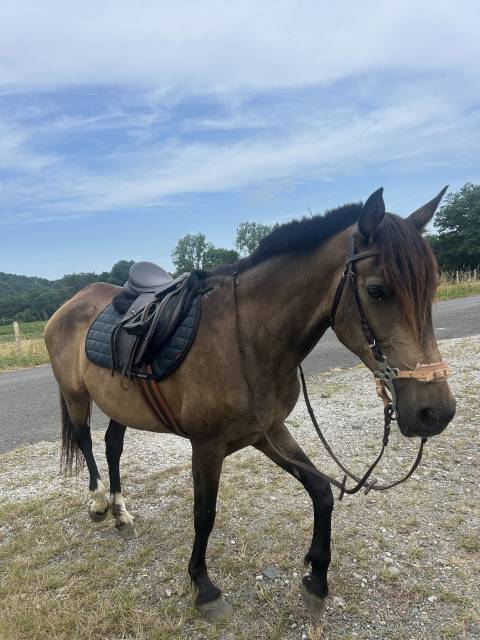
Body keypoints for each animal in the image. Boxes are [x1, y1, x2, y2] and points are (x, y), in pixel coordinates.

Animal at [44, 187, 455, 622]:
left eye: (431, 289)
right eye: (377, 291)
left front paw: (316, 578)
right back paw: (99, 503)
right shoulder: (207, 446)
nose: (436, 412)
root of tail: (72, 302)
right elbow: (204, 514)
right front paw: (204, 587)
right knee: (86, 441)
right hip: (76, 396)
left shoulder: (267, 431)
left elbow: (321, 492)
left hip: (120, 403)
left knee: (112, 446)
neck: (247, 337)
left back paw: (121, 513)